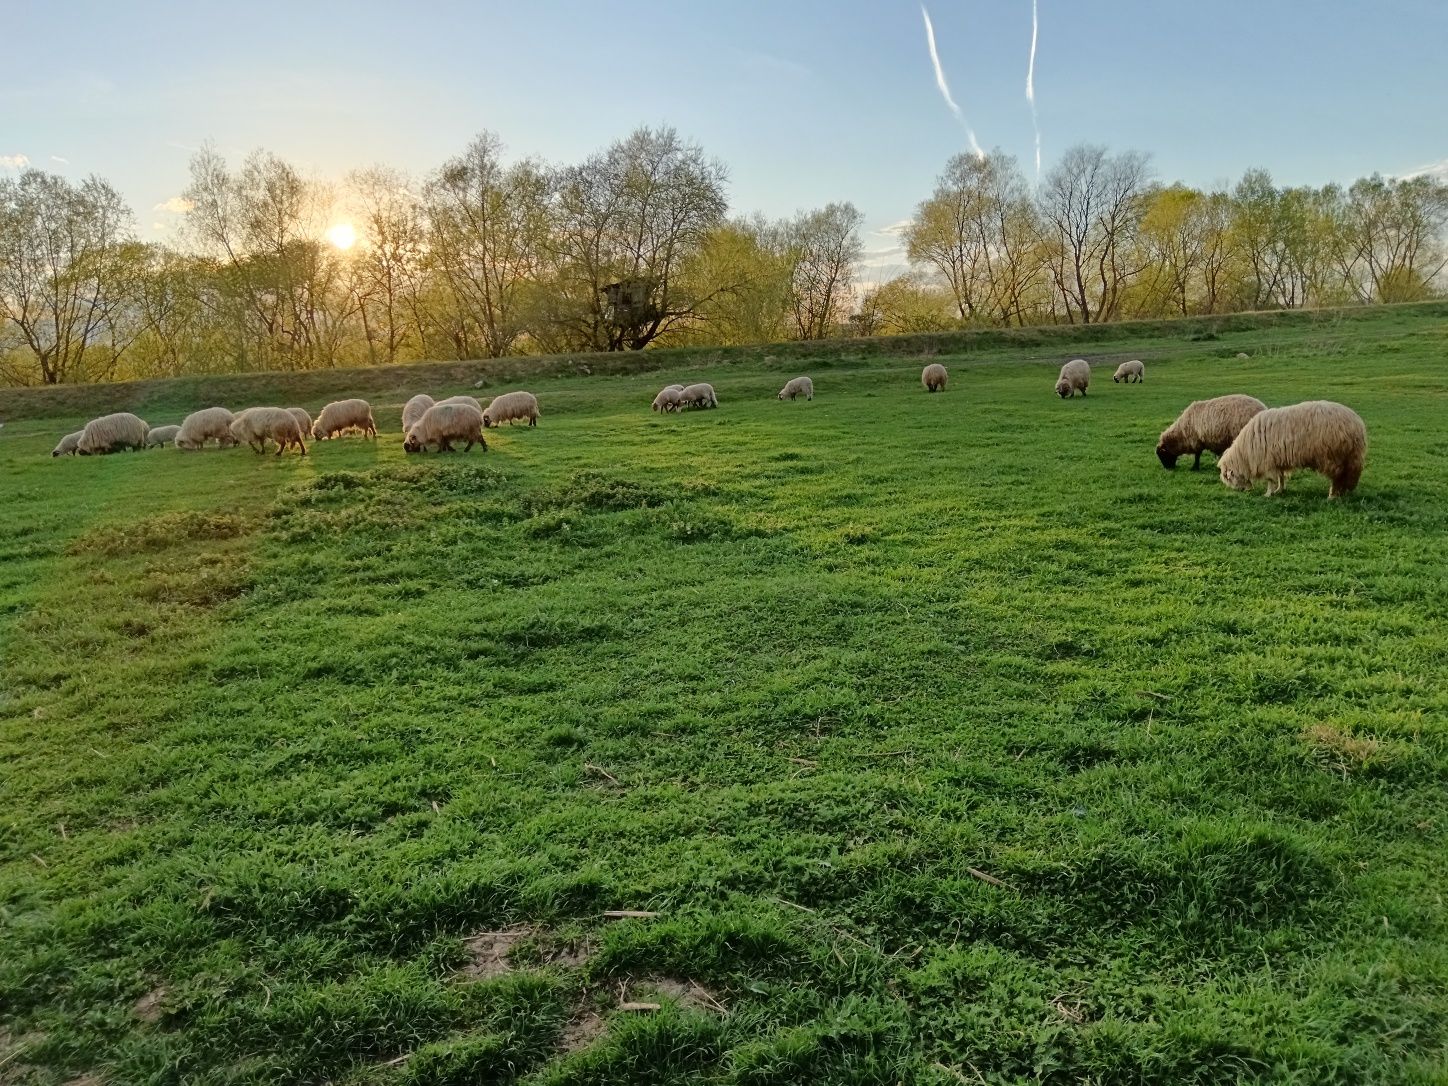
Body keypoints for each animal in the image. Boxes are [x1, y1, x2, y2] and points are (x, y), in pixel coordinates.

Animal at [1216, 402, 1361, 501]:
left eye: (1229, 478)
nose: (1244, 491)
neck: (1245, 453)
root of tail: (1356, 423)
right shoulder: (1278, 460)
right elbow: (1281, 477)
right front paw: (1279, 490)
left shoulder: (1267, 462)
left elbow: (1270, 480)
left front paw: (1268, 494)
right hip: (1348, 458)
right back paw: (1341, 493)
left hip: (1334, 457)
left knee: (1337, 478)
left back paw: (1332, 496)